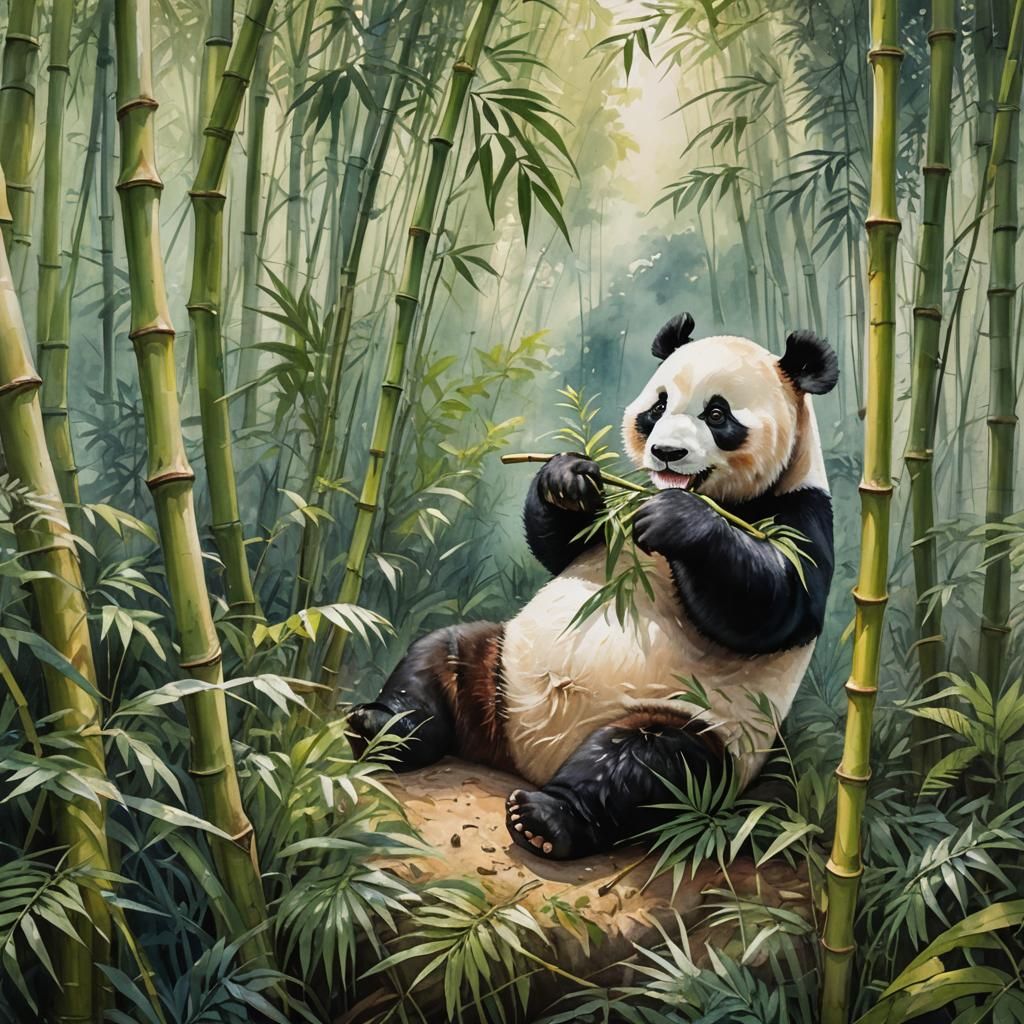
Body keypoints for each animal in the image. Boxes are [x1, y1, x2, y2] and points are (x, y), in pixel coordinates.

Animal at [348, 314, 838, 860]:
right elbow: (561, 548)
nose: (666, 453)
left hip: (704, 730)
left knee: (646, 763)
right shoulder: (615, 522)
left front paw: (679, 521)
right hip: (501, 666)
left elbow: (776, 604)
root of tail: (526, 760)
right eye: (658, 406)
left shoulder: (800, 512)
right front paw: (567, 477)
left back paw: (545, 818)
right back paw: (382, 727)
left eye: (717, 414)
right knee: (440, 656)